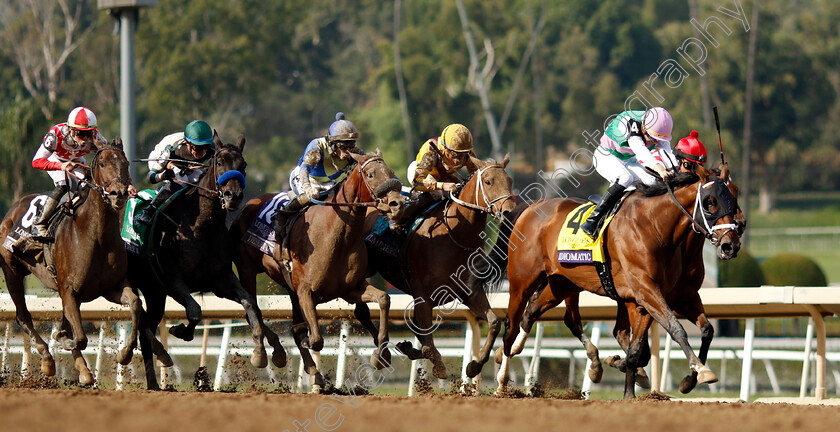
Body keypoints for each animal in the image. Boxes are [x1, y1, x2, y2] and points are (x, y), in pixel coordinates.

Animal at [0, 141, 141, 384]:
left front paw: (125, 353)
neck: (96, 236)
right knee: (23, 316)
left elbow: (135, 303)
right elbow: (79, 337)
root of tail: (14, 207)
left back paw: (83, 370)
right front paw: (63, 339)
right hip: (12, 272)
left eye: (126, 163)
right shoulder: (68, 288)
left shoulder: (111, 287)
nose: (119, 194)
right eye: (102, 163)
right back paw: (47, 359)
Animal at [230, 150, 404, 394]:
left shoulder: (350, 289)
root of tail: (248, 204)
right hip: (247, 269)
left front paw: (382, 354)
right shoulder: (306, 292)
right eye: (370, 174)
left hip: (290, 288)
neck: (335, 236)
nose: (398, 203)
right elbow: (315, 340)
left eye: (391, 172)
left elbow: (384, 299)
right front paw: (313, 375)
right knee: (253, 309)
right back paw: (267, 354)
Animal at [362, 155, 520, 378]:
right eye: (488, 181)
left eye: (510, 181)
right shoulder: (422, 297)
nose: (509, 211)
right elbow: (427, 341)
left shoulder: (469, 292)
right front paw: (436, 365)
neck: (455, 236)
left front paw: (474, 364)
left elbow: (494, 322)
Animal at [486, 165, 740, 398]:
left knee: (538, 312)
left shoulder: (669, 296)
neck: (655, 226)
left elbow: (702, 330)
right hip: (522, 282)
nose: (731, 245)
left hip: (561, 283)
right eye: (710, 202)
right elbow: (675, 329)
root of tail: (532, 206)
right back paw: (502, 382)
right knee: (511, 325)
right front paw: (700, 370)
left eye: (734, 198)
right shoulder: (646, 291)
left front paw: (681, 380)